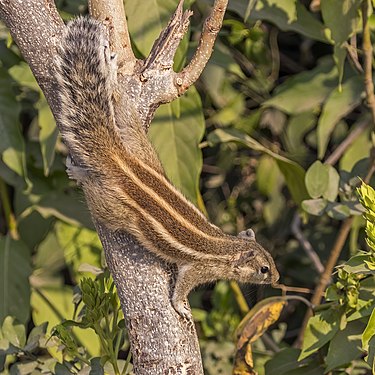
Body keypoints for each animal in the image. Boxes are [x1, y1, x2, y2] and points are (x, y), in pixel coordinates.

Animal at [55, 16, 280, 318]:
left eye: (272, 260)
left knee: (123, 113)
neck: (228, 248)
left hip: (140, 145)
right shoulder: (199, 270)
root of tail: (121, 161)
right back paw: (79, 172)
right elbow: (182, 287)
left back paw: (112, 79)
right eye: (264, 269)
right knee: (92, 186)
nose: (277, 278)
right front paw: (181, 307)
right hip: (111, 208)